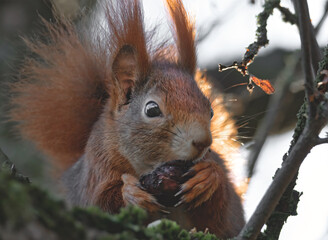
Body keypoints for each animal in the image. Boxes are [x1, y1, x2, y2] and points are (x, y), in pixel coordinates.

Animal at [10, 0, 245, 237]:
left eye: (211, 111)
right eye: (152, 110)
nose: (203, 142)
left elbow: (223, 218)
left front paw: (208, 178)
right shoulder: (96, 171)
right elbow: (98, 202)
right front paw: (130, 193)